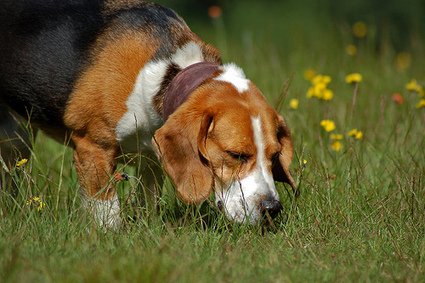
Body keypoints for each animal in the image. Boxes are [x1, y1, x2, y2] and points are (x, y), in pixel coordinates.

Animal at [0, 1, 296, 230]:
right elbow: (107, 213)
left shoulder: (152, 160)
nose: (272, 208)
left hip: (15, 140)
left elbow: (147, 200)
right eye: (235, 155)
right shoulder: (93, 148)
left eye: (274, 156)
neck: (168, 74)